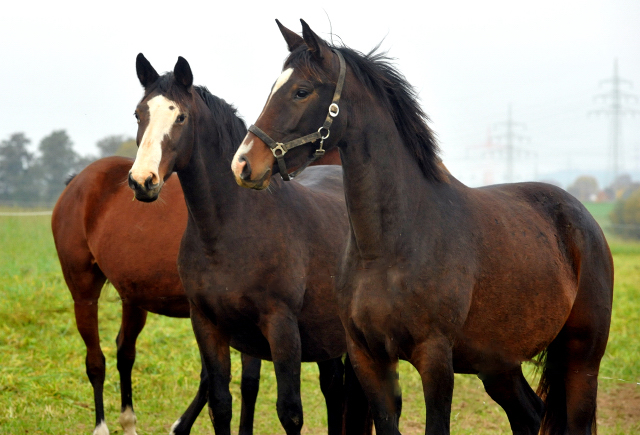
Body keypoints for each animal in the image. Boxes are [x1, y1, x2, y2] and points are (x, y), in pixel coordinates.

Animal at [50, 157, 350, 435]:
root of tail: (78, 182)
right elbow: (224, 380)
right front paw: (180, 427)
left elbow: (246, 381)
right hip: (83, 292)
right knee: (95, 361)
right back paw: (101, 426)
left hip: (132, 298)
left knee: (125, 352)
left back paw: (128, 423)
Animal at [125, 54, 370, 435]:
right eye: (140, 114)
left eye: (180, 117)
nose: (142, 181)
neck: (229, 231)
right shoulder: (208, 326)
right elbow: (221, 404)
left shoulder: (282, 329)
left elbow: (290, 412)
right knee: (334, 388)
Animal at [230, 19, 616, 435]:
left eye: (301, 91)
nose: (244, 163)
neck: (391, 245)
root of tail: (584, 221)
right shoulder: (369, 359)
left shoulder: (435, 359)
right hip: (498, 365)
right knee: (529, 415)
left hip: (581, 361)